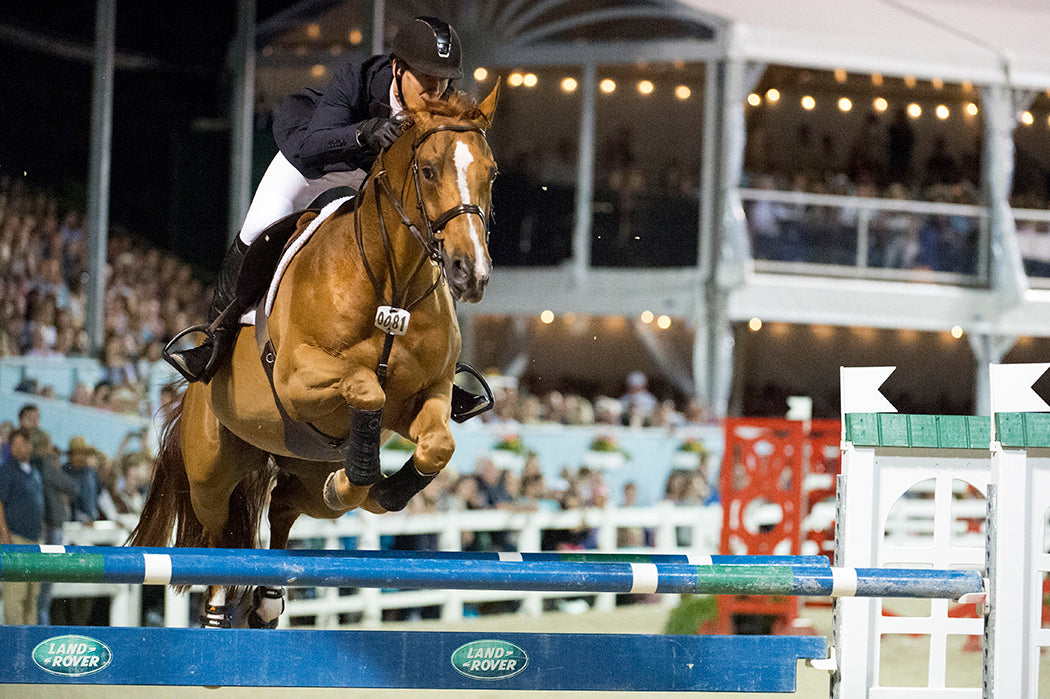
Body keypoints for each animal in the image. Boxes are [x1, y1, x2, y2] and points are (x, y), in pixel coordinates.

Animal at [131, 84, 499, 629]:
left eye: (490, 173)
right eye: (429, 170)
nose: (469, 273)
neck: (391, 285)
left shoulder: (426, 395)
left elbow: (437, 445)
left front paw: (379, 489)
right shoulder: (296, 378)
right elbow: (364, 385)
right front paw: (359, 477)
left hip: (301, 466)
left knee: (284, 506)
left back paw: (271, 589)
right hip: (211, 471)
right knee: (223, 532)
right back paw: (220, 606)